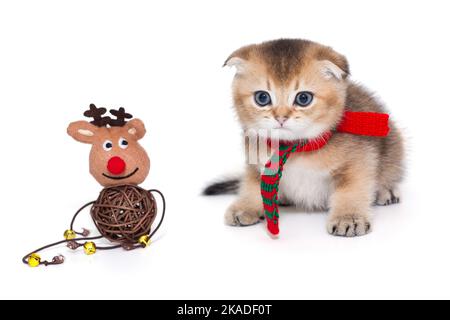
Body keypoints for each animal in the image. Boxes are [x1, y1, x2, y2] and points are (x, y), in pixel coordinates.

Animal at [204, 38, 404, 236]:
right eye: (262, 98)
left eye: (303, 98)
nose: (281, 117)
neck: (294, 149)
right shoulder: (255, 161)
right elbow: (252, 184)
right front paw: (246, 206)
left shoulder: (358, 162)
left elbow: (351, 189)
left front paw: (349, 217)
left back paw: (386, 191)